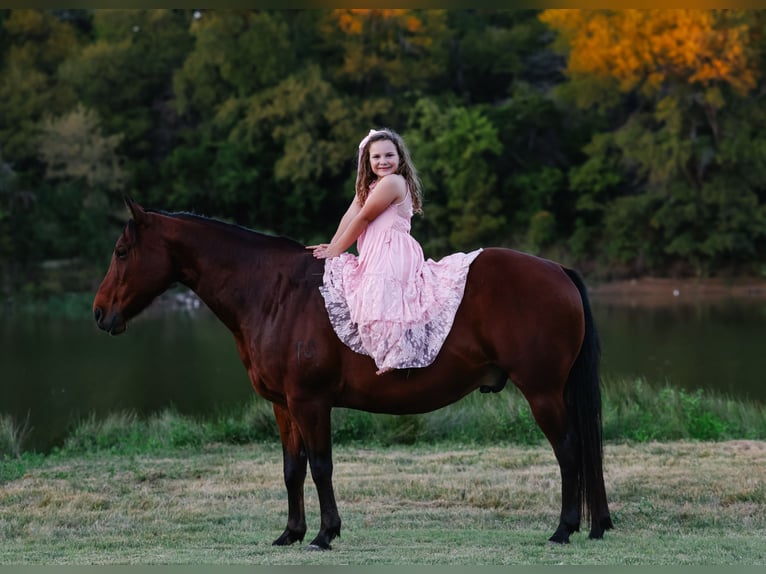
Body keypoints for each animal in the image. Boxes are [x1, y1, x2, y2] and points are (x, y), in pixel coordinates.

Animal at [93, 197, 613, 550]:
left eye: (120, 251)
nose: (99, 314)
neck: (274, 292)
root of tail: (559, 270)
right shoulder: (284, 406)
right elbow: (292, 470)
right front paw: (291, 533)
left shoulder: (310, 402)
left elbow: (321, 466)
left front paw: (325, 533)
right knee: (585, 450)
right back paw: (596, 524)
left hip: (542, 391)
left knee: (569, 450)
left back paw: (564, 528)